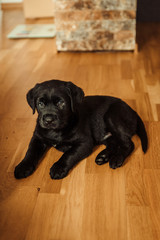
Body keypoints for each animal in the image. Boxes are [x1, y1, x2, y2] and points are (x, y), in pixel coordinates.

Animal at [14, 79, 148, 179]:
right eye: (40, 103)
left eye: (61, 103)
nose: (48, 120)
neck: (56, 131)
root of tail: (133, 111)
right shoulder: (37, 138)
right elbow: (30, 152)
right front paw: (23, 167)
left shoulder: (84, 143)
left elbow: (69, 154)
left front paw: (58, 168)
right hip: (104, 134)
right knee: (114, 143)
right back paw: (103, 156)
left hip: (112, 116)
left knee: (128, 144)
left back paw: (117, 159)